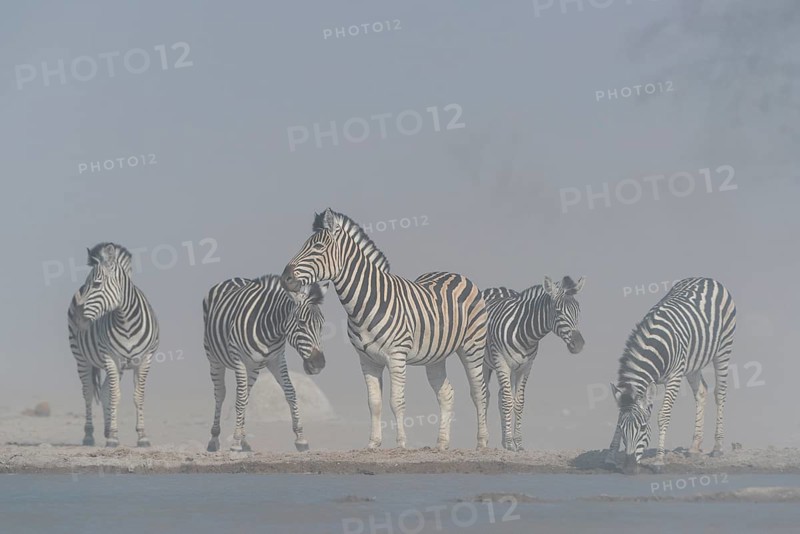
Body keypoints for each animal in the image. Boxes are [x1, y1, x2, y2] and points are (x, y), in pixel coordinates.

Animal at [68, 242, 159, 448]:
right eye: (86, 284)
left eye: (96, 284)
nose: (78, 318)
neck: (126, 322)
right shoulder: (111, 358)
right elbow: (115, 396)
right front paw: (114, 437)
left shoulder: (145, 359)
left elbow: (137, 396)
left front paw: (142, 436)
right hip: (81, 358)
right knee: (88, 391)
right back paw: (89, 435)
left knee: (103, 391)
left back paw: (106, 429)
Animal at [203, 274, 328, 452]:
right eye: (302, 322)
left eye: (322, 324)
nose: (318, 364)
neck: (270, 329)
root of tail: (233, 279)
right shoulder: (238, 358)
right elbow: (239, 398)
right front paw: (235, 442)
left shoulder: (277, 359)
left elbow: (290, 392)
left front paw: (300, 438)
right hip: (213, 357)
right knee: (220, 393)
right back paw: (214, 439)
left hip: (253, 367)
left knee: (246, 395)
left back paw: (244, 439)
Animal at [280, 208, 490, 451]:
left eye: (318, 247)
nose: (285, 278)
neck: (364, 304)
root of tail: (456, 274)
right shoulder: (367, 360)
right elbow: (374, 402)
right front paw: (373, 443)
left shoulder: (396, 356)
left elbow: (396, 401)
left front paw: (401, 444)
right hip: (435, 357)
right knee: (446, 393)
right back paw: (441, 444)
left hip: (472, 347)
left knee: (479, 392)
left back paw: (482, 442)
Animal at [482, 276, 586, 452]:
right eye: (558, 311)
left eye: (578, 311)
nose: (578, 344)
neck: (524, 332)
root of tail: (495, 289)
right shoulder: (501, 361)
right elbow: (508, 400)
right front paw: (509, 442)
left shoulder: (526, 366)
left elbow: (518, 402)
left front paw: (517, 442)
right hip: (483, 361)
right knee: (483, 395)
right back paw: (482, 441)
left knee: (500, 395)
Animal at [605, 277, 736, 474]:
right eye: (622, 428)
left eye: (643, 427)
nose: (629, 469)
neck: (654, 345)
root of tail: (707, 279)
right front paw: (611, 457)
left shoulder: (674, 377)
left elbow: (663, 415)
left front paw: (659, 460)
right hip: (692, 363)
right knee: (702, 392)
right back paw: (694, 447)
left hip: (723, 349)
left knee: (719, 393)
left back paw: (717, 447)